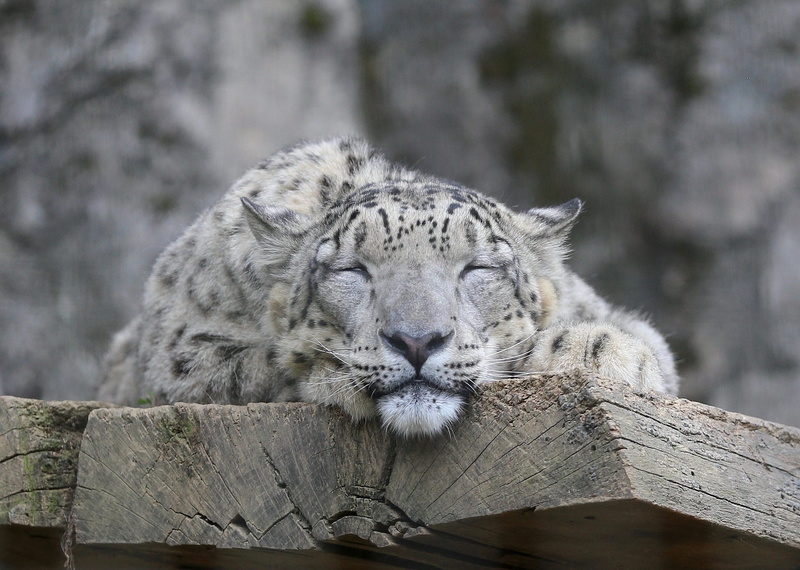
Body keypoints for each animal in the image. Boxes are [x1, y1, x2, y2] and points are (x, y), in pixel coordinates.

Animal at [99, 136, 678, 436]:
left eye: (476, 269)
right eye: (353, 270)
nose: (416, 341)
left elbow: (649, 346)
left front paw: (605, 350)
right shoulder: (176, 355)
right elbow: (263, 365)